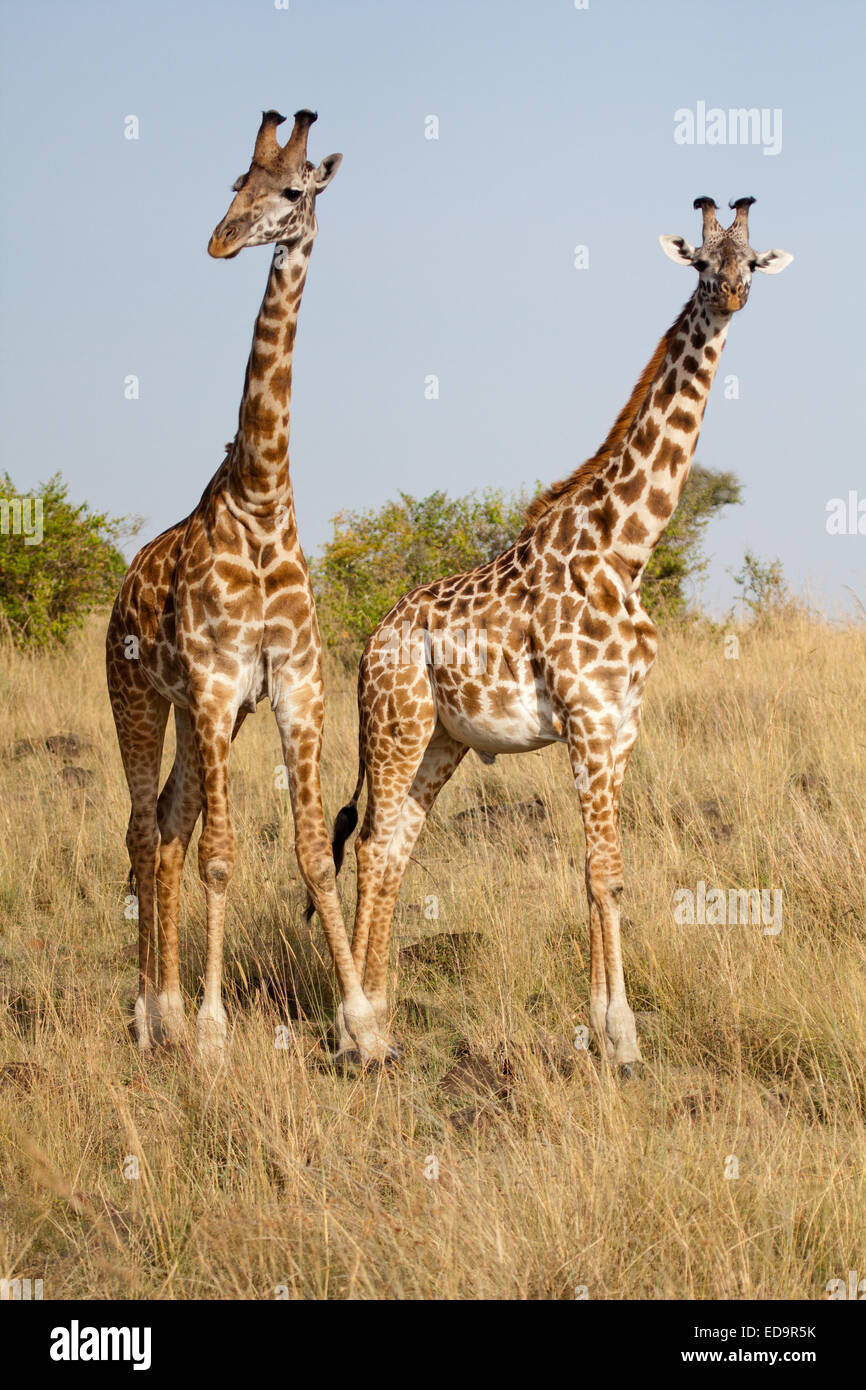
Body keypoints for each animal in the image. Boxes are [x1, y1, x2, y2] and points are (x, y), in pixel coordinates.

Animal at [107, 108, 389, 1061]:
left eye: (293, 190)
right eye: (236, 182)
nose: (221, 240)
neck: (264, 498)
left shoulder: (294, 688)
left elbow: (311, 851)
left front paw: (361, 1025)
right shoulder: (213, 679)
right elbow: (223, 856)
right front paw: (212, 1030)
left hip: (208, 719)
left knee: (166, 825)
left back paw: (159, 1005)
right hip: (143, 699)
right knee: (144, 829)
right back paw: (151, 1015)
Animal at [319, 193, 795, 1061]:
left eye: (750, 261)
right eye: (701, 262)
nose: (731, 295)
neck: (626, 548)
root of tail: (372, 641)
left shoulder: (623, 722)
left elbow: (608, 872)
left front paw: (611, 1033)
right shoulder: (586, 717)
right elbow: (600, 873)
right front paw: (623, 1041)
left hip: (444, 740)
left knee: (395, 846)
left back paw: (382, 1022)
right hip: (396, 725)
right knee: (370, 846)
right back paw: (359, 1032)